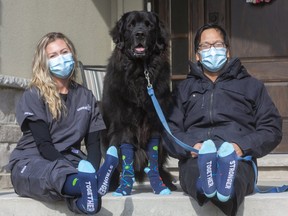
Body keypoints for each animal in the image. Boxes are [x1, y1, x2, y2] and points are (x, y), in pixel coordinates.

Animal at [101, 10, 176, 196]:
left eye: (149, 25)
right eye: (131, 25)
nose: (140, 34)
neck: (141, 73)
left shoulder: (155, 120)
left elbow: (155, 155)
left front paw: (160, 183)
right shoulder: (123, 121)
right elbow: (125, 153)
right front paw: (124, 187)